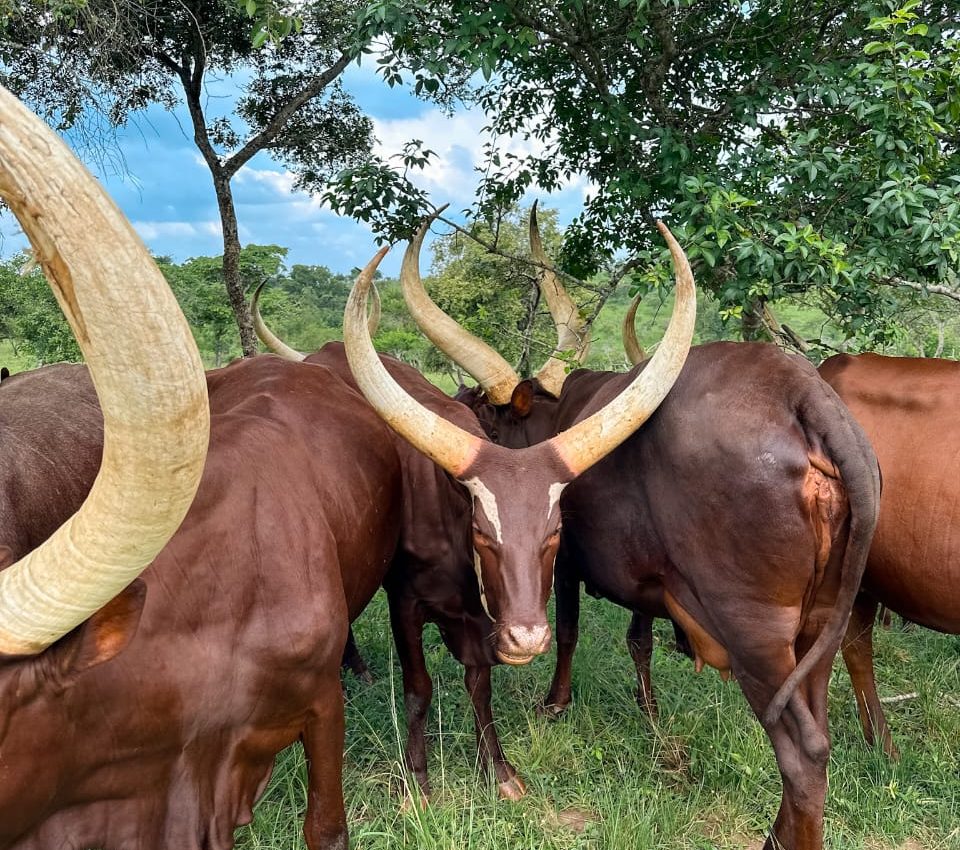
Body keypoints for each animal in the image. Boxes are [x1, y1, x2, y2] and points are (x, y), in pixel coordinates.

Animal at [250, 215, 697, 801]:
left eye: (554, 533)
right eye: (484, 532)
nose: (527, 637)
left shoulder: (481, 618)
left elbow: (478, 683)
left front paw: (498, 769)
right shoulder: (405, 601)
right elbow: (418, 687)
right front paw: (417, 778)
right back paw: (357, 672)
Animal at [408, 214, 880, 850]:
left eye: (488, 417)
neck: (556, 419)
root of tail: (805, 396)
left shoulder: (565, 560)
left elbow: (568, 630)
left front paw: (555, 702)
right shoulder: (647, 579)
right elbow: (640, 636)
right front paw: (648, 707)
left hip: (755, 631)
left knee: (803, 755)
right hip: (819, 626)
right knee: (820, 729)